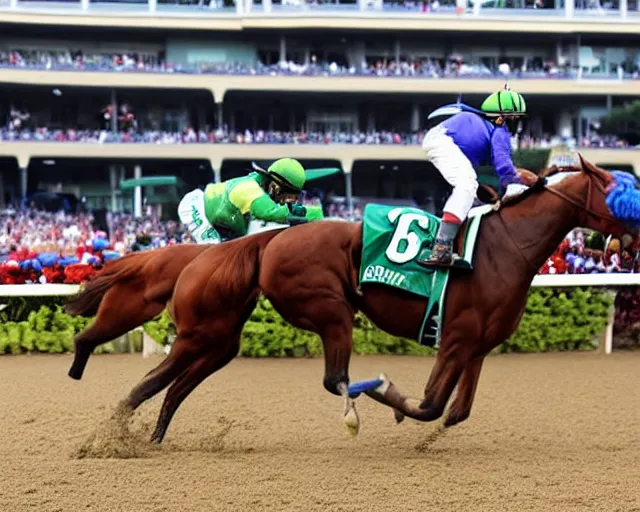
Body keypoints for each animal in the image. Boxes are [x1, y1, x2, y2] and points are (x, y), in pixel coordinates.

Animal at [71, 157, 640, 444]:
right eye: (622, 192)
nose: (631, 243)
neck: (508, 247)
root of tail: (268, 239)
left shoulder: (478, 345)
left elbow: (455, 413)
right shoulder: (455, 338)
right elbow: (431, 405)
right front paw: (394, 401)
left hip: (219, 334)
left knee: (170, 382)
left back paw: (140, 432)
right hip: (328, 310)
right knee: (332, 377)